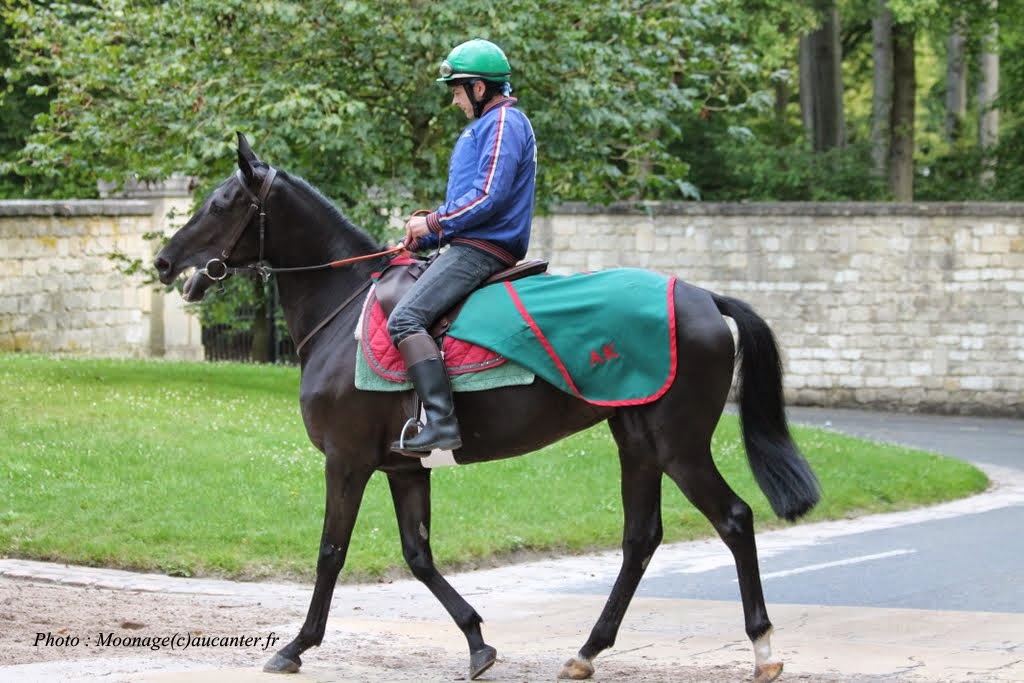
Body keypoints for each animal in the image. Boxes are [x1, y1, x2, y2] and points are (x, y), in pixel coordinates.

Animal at [151, 135, 819, 683]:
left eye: (221, 204)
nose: (163, 261)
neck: (344, 308)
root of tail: (702, 296)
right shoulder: (403, 468)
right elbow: (418, 555)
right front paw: (476, 641)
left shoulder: (346, 461)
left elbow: (331, 552)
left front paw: (297, 645)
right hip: (637, 443)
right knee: (640, 539)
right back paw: (587, 652)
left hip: (679, 446)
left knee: (733, 519)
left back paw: (762, 649)